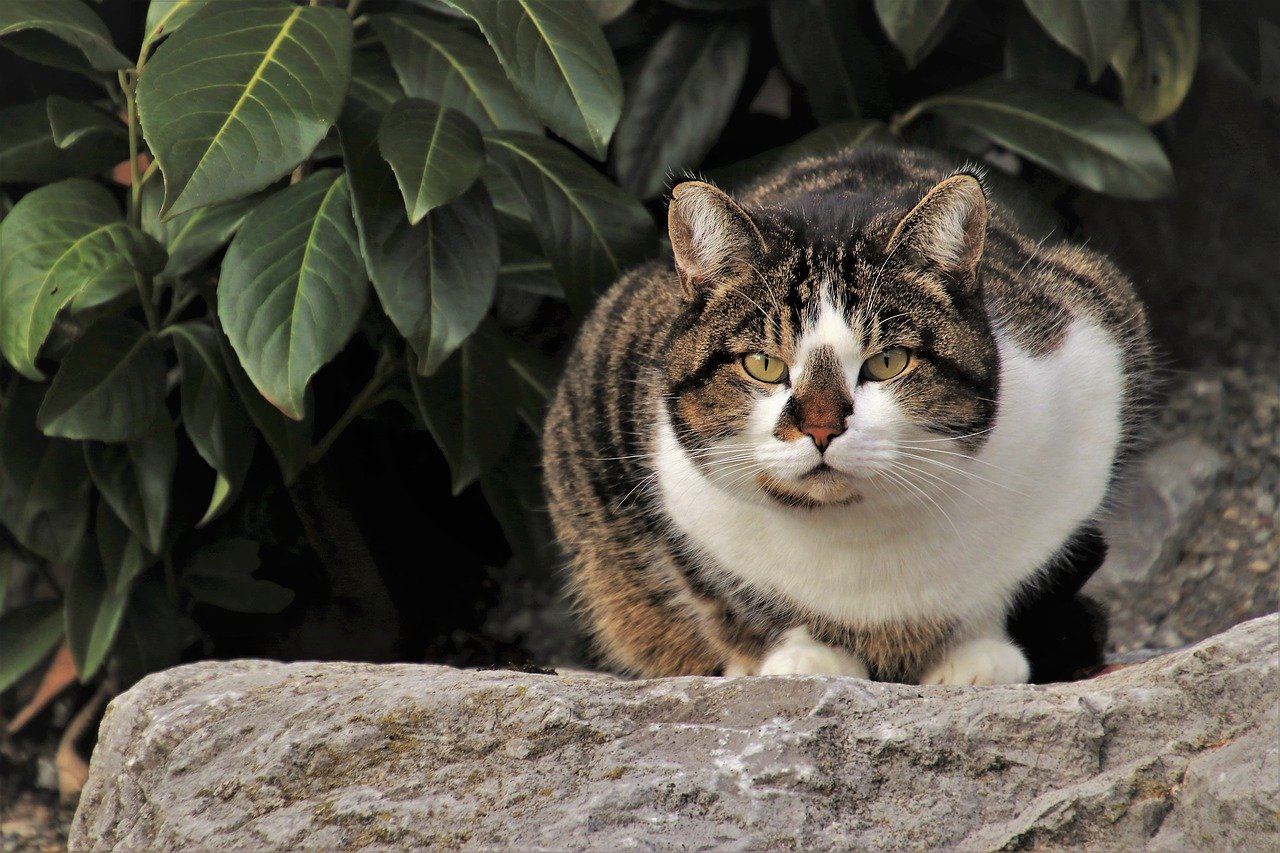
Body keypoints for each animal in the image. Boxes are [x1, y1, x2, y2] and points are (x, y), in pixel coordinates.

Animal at [540, 142, 1152, 681]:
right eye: (763, 364)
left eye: (887, 362)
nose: (820, 428)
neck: (859, 539)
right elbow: (726, 593)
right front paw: (801, 656)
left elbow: (1017, 583)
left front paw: (979, 655)